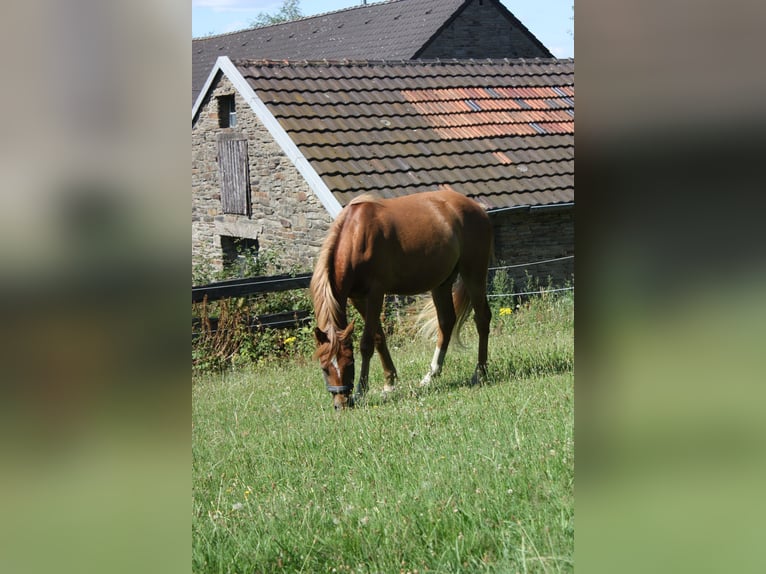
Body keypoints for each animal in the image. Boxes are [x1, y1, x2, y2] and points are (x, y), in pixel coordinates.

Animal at [310, 188, 493, 409]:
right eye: (324, 368)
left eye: (349, 363)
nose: (341, 403)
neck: (355, 236)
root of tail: (476, 208)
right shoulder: (357, 298)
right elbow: (379, 337)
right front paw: (389, 382)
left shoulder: (375, 293)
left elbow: (366, 343)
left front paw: (361, 392)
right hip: (441, 283)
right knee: (446, 322)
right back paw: (431, 375)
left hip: (473, 273)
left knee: (482, 319)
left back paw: (479, 373)